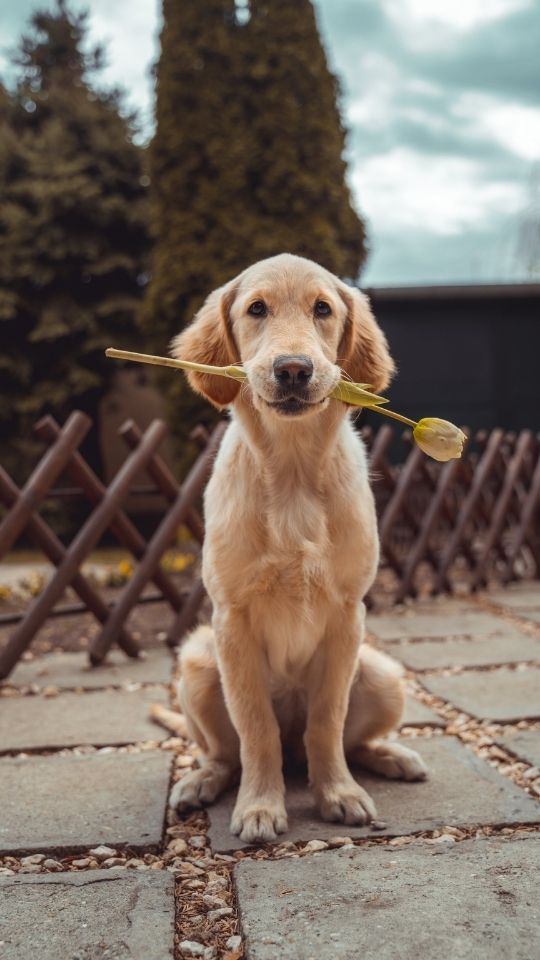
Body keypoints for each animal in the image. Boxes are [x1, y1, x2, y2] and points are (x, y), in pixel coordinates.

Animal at [169, 255, 426, 840]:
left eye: (323, 309)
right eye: (256, 309)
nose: (292, 370)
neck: (290, 472)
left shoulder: (347, 615)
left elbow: (327, 721)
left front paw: (338, 794)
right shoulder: (231, 620)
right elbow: (255, 726)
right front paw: (261, 806)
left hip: (383, 673)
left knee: (345, 741)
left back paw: (391, 756)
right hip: (197, 663)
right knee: (226, 753)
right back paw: (202, 781)